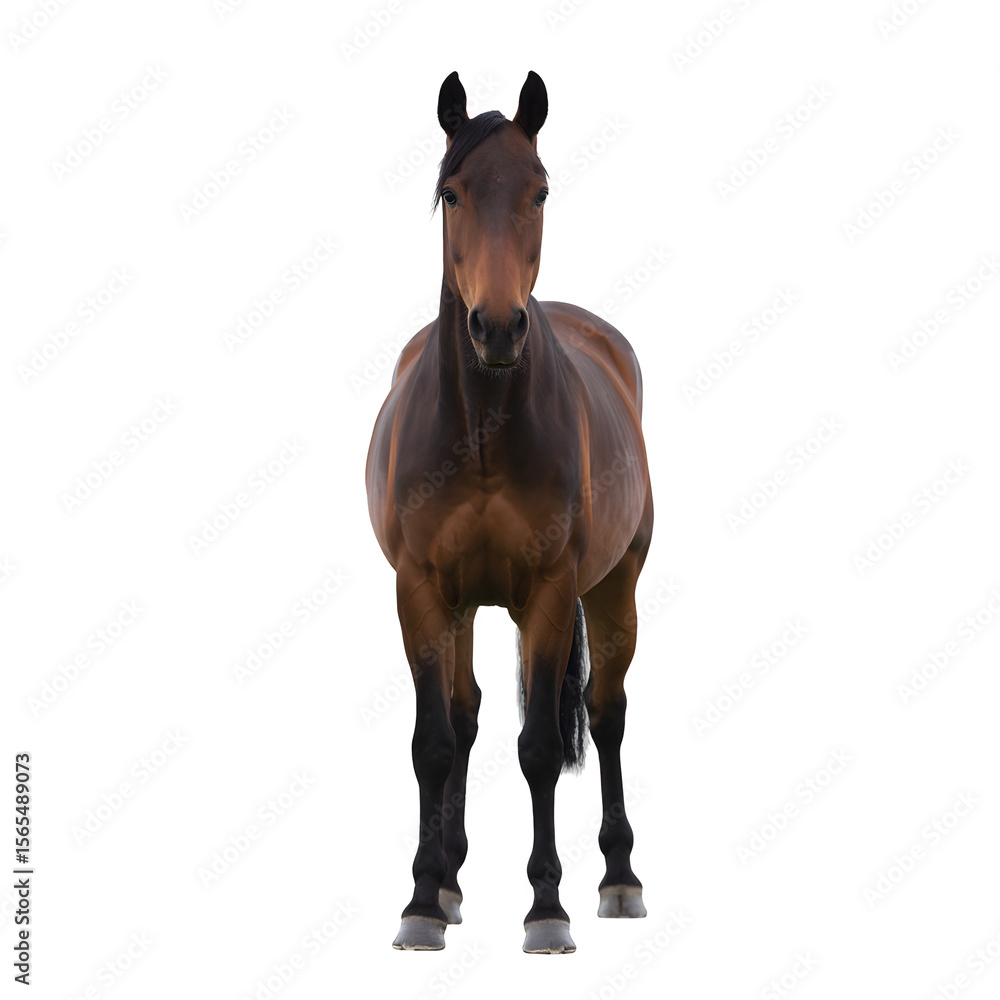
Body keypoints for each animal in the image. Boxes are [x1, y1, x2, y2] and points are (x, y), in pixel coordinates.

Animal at [365, 70, 653, 954]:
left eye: (540, 189)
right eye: (451, 192)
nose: (496, 327)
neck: (485, 433)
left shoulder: (553, 592)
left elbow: (539, 749)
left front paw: (547, 907)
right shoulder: (422, 590)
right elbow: (435, 740)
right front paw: (424, 899)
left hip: (616, 587)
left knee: (605, 713)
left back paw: (620, 878)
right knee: (464, 716)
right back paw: (453, 882)